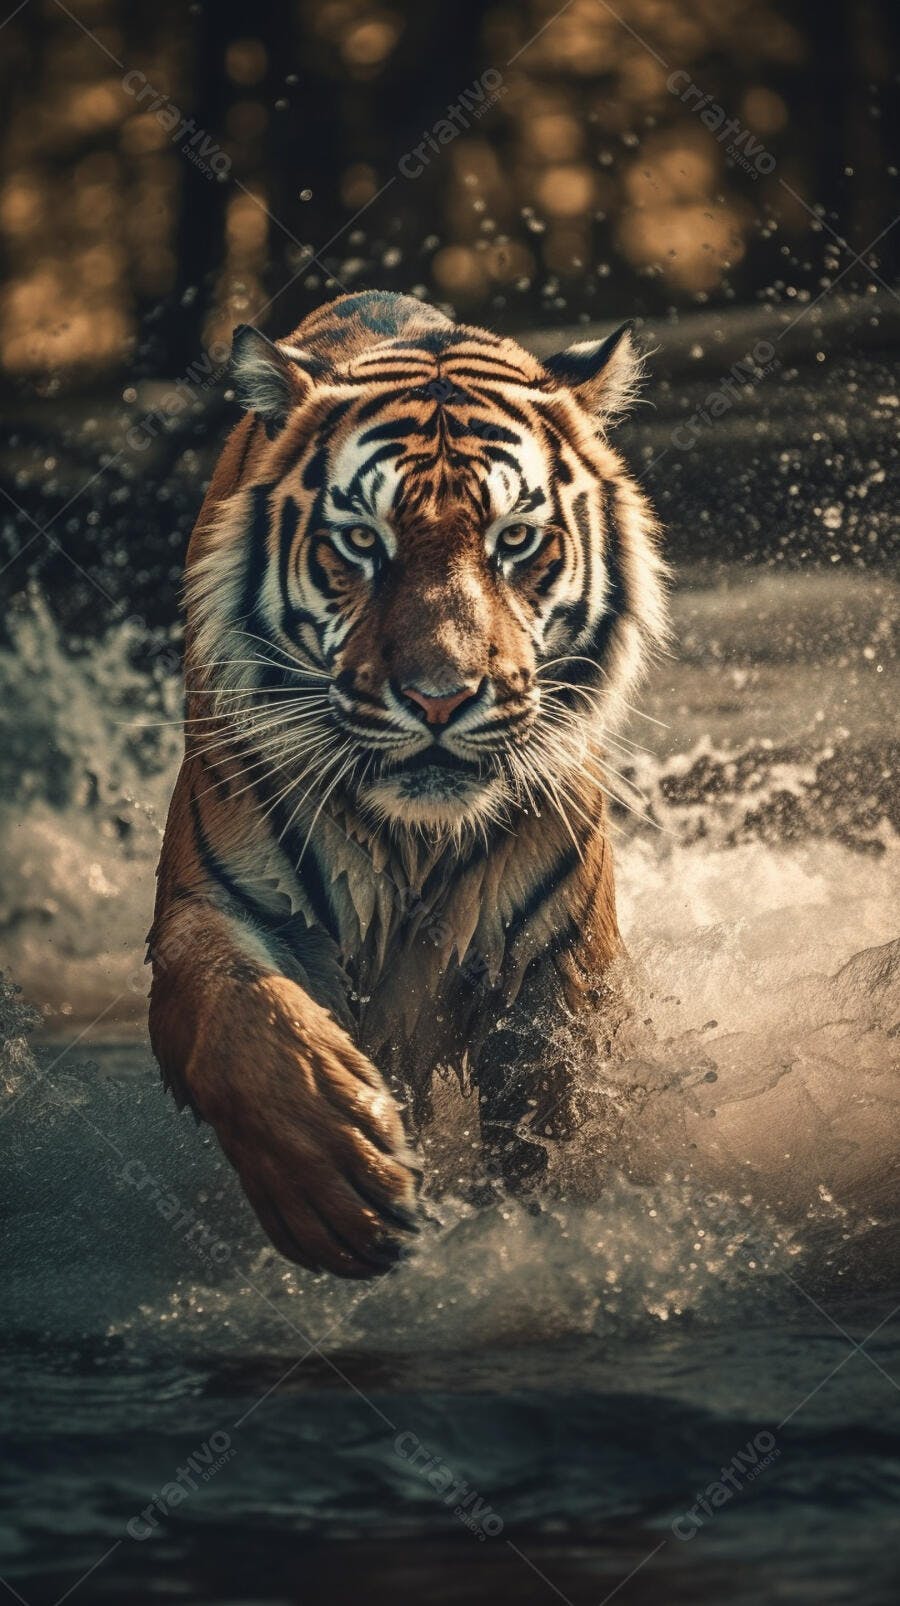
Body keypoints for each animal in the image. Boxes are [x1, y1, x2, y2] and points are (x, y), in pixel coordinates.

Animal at [148, 289, 668, 1279]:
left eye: (516, 540)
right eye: (361, 541)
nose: (440, 696)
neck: (413, 841)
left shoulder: (556, 957)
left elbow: (550, 1126)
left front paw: (541, 1234)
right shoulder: (209, 903)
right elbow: (241, 1020)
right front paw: (336, 1189)